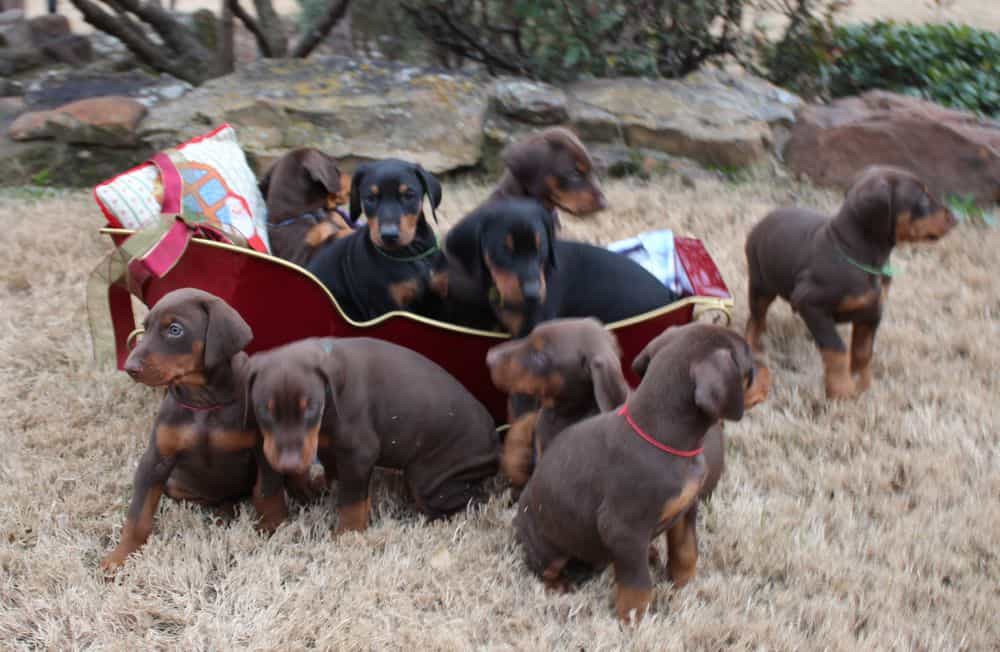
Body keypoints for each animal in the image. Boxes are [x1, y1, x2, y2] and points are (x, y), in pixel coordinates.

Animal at [245, 338, 500, 532]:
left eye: (310, 408)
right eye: (264, 409)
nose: (288, 466)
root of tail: (496, 444)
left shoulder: (359, 453)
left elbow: (352, 500)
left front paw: (347, 535)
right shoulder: (328, 446)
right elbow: (334, 474)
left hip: (429, 478)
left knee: (473, 499)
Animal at [306, 158, 444, 320]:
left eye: (408, 195)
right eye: (371, 198)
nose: (389, 235)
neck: (411, 254)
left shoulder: (439, 297)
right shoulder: (387, 307)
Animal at [516, 324, 764, 624]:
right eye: (750, 363)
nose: (769, 373)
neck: (662, 437)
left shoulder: (686, 506)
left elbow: (686, 550)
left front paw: (683, 586)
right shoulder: (623, 530)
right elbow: (637, 586)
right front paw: (633, 621)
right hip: (548, 543)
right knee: (545, 568)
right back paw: (560, 585)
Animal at [748, 164, 956, 398]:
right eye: (922, 198)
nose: (956, 217)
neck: (854, 252)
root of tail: (763, 221)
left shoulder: (872, 311)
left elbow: (863, 351)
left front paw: (862, 385)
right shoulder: (809, 303)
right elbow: (837, 349)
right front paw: (842, 390)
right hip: (760, 283)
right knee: (755, 318)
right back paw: (752, 350)